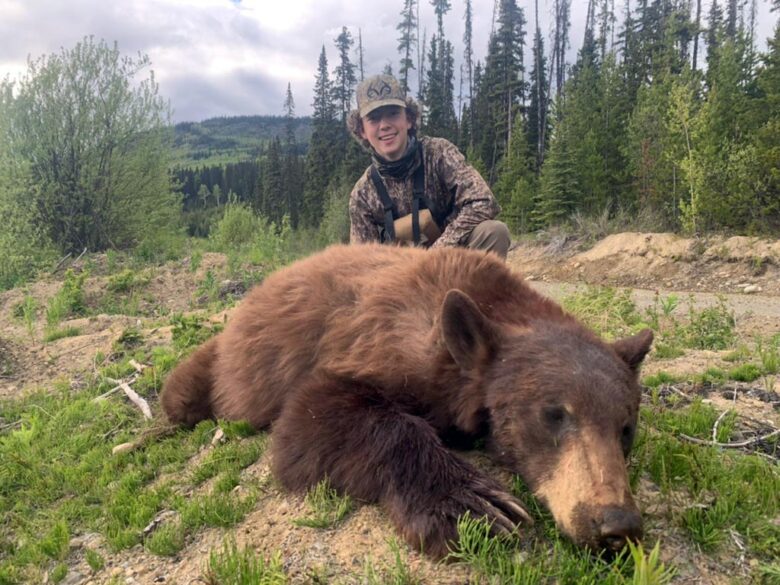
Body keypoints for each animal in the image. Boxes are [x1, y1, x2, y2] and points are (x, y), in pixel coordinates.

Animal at [161, 243, 653, 559]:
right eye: (554, 414)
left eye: (625, 428)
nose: (616, 523)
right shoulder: (384, 341)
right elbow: (309, 421)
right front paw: (474, 505)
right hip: (222, 366)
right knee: (182, 393)